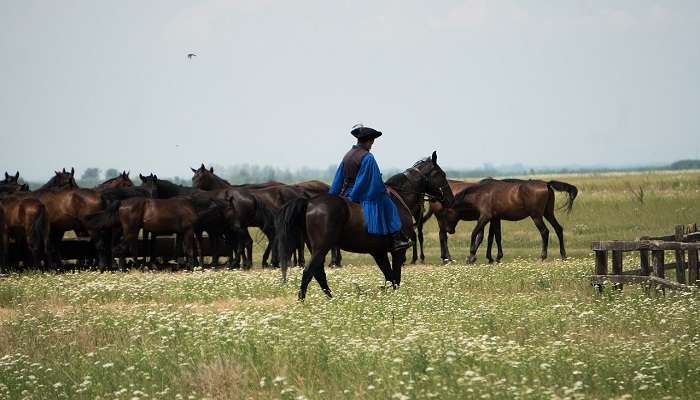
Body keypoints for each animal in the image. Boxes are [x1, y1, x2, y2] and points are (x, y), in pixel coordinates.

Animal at [274, 152, 454, 300]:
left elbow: (389, 276)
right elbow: (395, 277)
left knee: (318, 272)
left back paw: (331, 299)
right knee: (309, 271)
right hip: (321, 247)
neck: (401, 197)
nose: (450, 199)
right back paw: (303, 300)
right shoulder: (398, 251)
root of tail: (309, 202)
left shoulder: (378, 252)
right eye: (442, 174)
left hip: (316, 247)